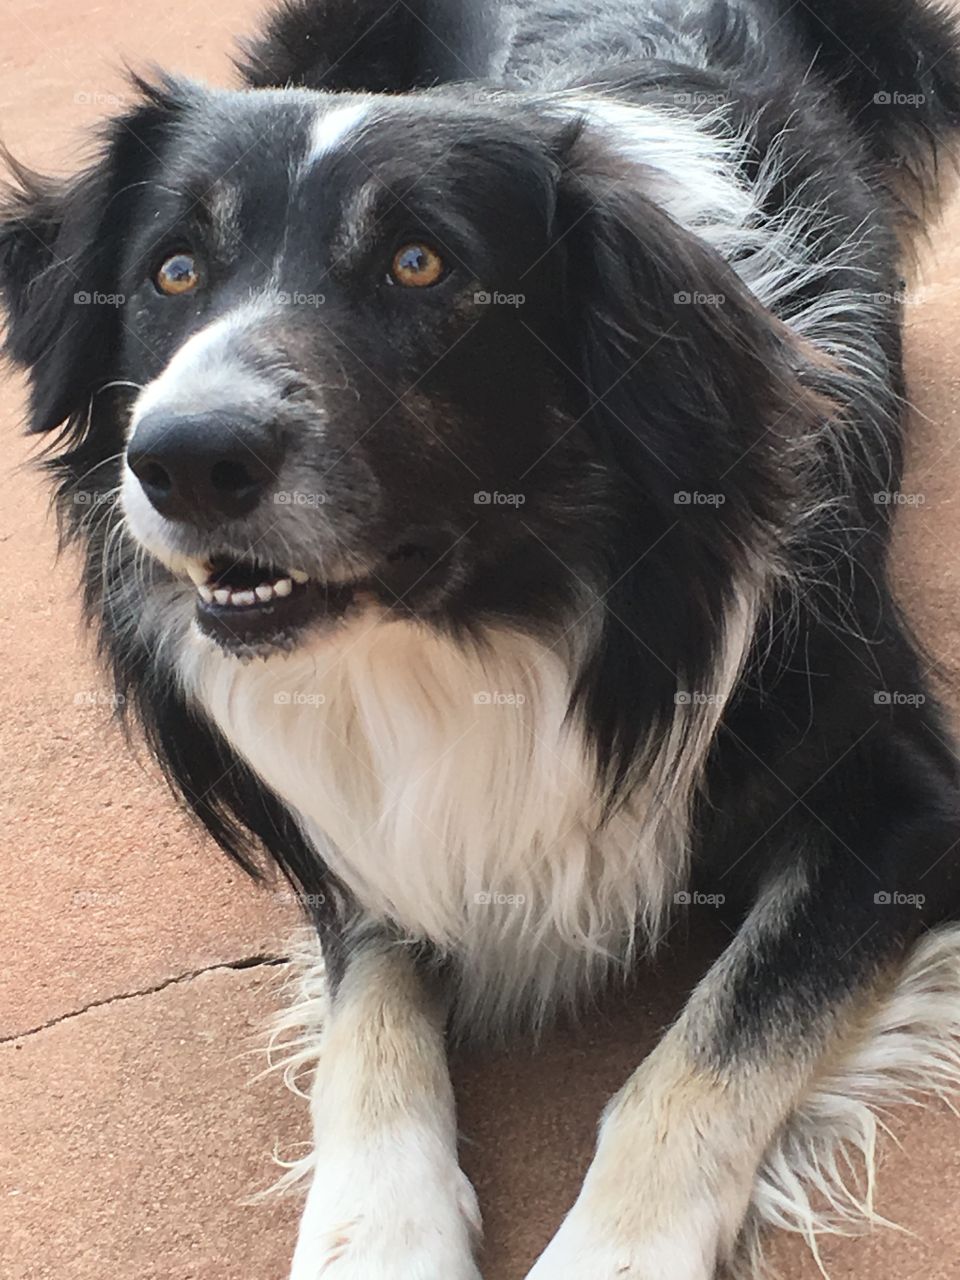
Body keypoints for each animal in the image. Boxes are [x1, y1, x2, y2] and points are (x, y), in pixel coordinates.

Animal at [5, 0, 960, 1274]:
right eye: (173, 268)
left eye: (421, 263)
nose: (186, 457)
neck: (496, 617)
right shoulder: (341, 816)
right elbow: (370, 1015)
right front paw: (380, 1235)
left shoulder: (898, 796)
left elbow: (716, 1040)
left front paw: (616, 1253)